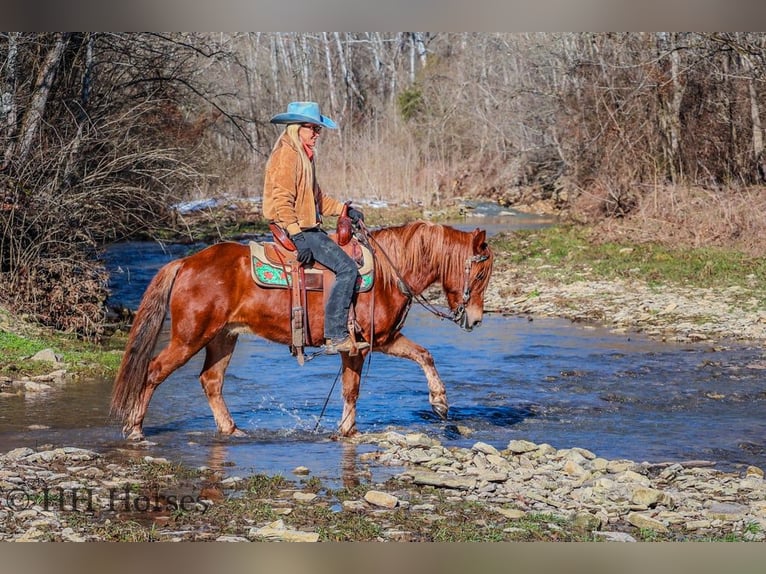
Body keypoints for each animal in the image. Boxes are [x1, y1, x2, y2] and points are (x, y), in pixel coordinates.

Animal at [110, 220, 494, 440]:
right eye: (479, 274)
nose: (475, 320)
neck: (389, 273)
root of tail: (186, 262)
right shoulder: (362, 344)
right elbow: (354, 389)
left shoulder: (377, 343)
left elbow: (421, 356)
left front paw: (439, 403)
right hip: (190, 337)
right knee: (154, 371)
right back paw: (135, 429)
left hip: (223, 337)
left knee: (211, 380)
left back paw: (231, 429)